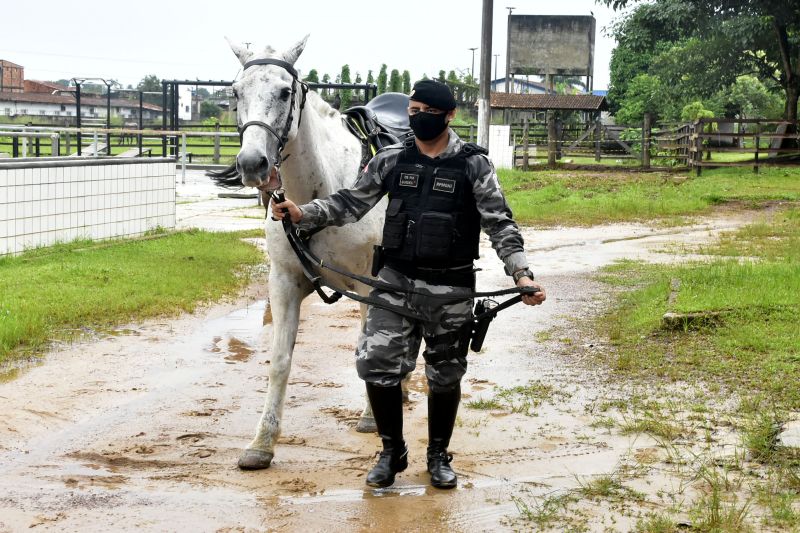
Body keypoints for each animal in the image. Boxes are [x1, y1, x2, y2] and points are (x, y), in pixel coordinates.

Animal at [216, 38, 384, 470]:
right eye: (235, 92)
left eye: (284, 92)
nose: (252, 163)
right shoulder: (284, 283)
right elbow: (279, 362)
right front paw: (262, 442)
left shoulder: (373, 286)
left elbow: (371, 349)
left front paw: (372, 416)